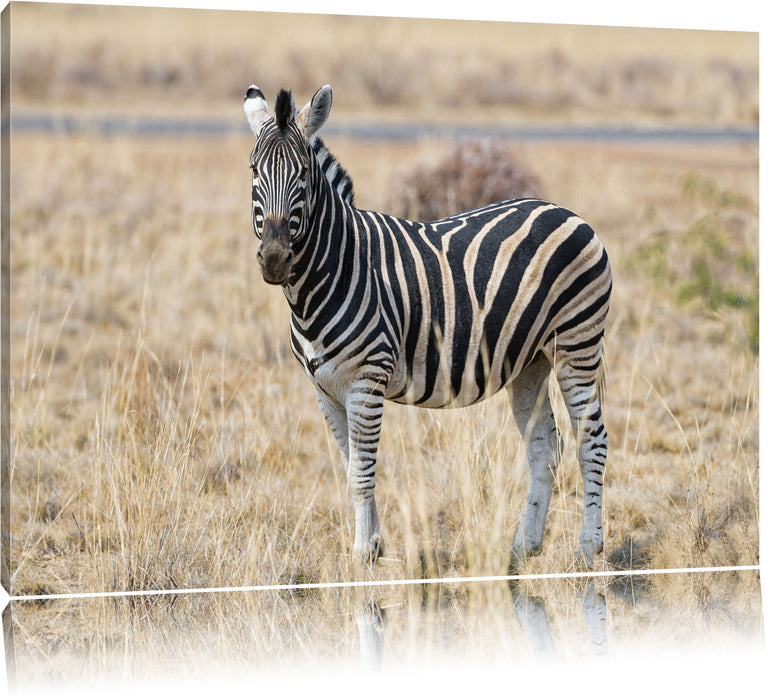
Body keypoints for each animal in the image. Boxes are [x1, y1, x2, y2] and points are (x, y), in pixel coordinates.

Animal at [242, 86, 612, 568]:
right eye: (254, 170)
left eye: (303, 173)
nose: (274, 258)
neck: (330, 272)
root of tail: (568, 212)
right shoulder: (324, 389)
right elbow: (350, 468)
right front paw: (373, 546)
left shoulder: (366, 382)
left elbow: (362, 473)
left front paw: (361, 555)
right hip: (530, 362)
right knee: (544, 449)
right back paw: (523, 547)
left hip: (576, 346)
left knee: (592, 441)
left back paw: (588, 549)